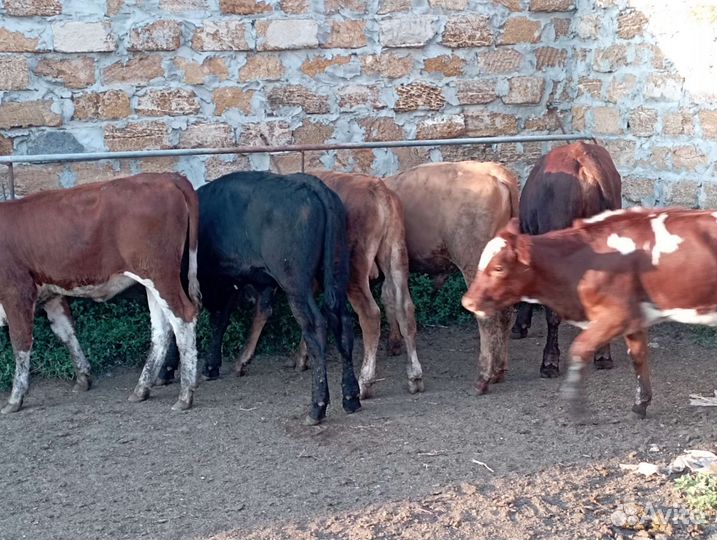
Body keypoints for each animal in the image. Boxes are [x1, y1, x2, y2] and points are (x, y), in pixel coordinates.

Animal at [0, 173, 201, 413]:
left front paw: (15, 398)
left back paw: (185, 395)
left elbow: (20, 342)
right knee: (162, 328)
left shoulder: (15, 292)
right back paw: (142, 389)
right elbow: (66, 332)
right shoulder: (51, 294)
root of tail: (167, 177)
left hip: (160, 274)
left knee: (183, 318)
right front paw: (83, 378)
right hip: (152, 279)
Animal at [158, 171, 361, 425]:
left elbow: (184, 325)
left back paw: (317, 406)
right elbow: (220, 321)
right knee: (342, 321)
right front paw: (212, 366)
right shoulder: (228, 280)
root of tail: (308, 183)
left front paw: (167, 370)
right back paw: (351, 397)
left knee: (316, 326)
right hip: (336, 271)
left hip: (295, 282)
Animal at [232, 170, 422, 399]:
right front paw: (302, 357)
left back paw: (364, 382)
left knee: (370, 315)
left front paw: (243, 360)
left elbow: (266, 314)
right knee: (406, 310)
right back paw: (414, 377)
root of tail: (377, 188)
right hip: (396, 257)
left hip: (354, 273)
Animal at [382, 161, 519, 394]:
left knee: (488, 318)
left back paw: (483, 378)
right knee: (507, 314)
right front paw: (394, 341)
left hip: (473, 262)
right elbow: (388, 297)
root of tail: (493, 171)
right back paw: (499, 371)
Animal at [461, 208, 717, 418]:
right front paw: (641, 403)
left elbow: (579, 349)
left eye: (499, 268)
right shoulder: (634, 318)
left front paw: (575, 404)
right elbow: (638, 357)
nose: (467, 301)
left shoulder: (616, 315)